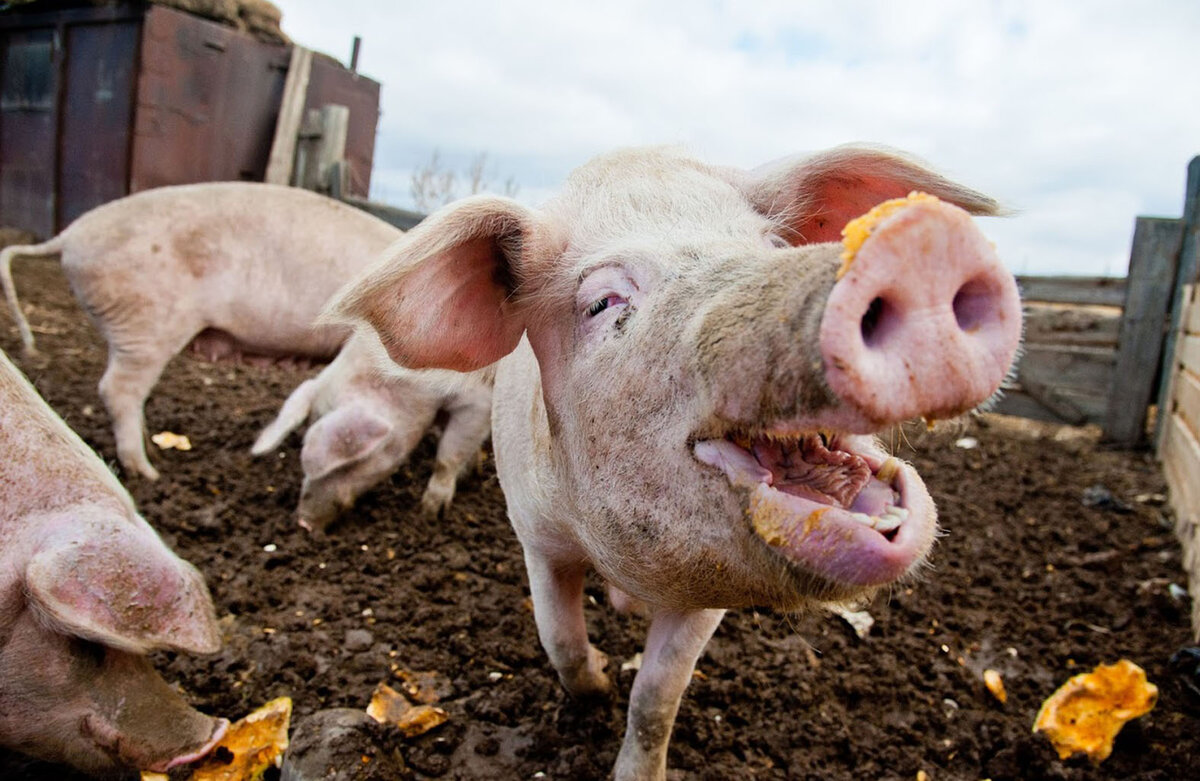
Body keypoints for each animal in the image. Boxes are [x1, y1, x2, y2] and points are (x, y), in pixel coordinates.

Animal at [250, 326, 494, 535]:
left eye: (349, 464)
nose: (303, 523)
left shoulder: (478, 400)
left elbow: (447, 458)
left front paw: (430, 514)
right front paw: (471, 473)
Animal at [328, 143, 1022, 777]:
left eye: (773, 245)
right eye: (603, 302)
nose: (921, 243)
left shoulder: (710, 592)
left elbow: (657, 699)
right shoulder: (535, 534)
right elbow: (560, 640)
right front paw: (598, 684)